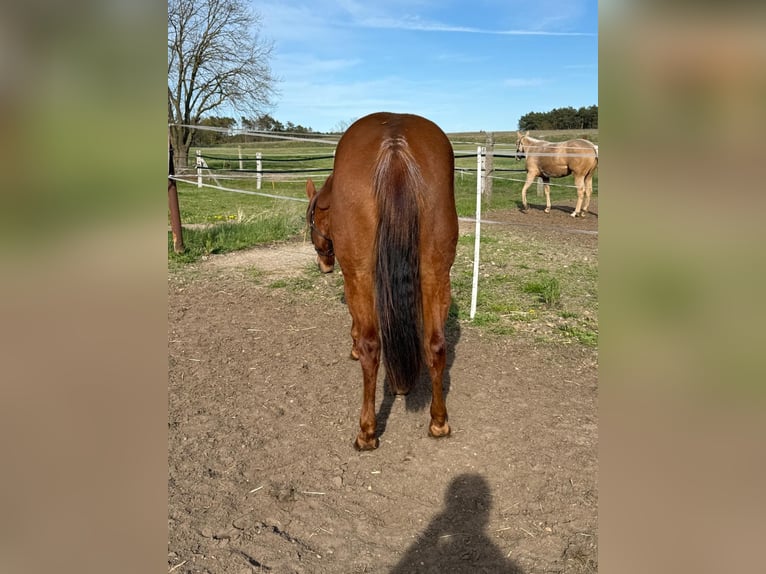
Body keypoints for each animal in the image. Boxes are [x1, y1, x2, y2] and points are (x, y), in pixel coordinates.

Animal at [306, 112, 458, 451]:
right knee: (436, 345)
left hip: (361, 275)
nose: (323, 264)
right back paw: (438, 422)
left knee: (371, 346)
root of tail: (395, 145)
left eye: (311, 221)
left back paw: (367, 432)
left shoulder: (356, 278)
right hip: (436, 273)